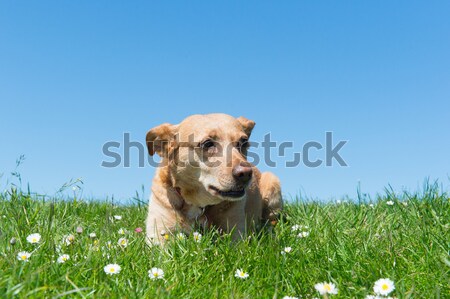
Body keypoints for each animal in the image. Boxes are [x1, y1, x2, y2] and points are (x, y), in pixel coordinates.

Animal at [146, 113, 284, 244]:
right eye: (208, 144)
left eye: (244, 142)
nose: (246, 174)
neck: (198, 205)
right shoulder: (158, 234)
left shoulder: (236, 235)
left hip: (273, 183)